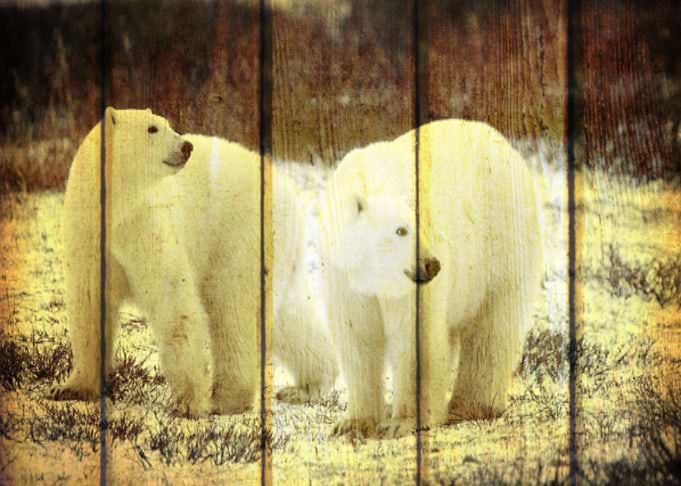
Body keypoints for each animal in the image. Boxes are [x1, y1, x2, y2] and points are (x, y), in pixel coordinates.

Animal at [320, 119, 543, 438]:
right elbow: (358, 335)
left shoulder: (413, 290)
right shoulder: (345, 278)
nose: (432, 265)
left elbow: (414, 337)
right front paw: (352, 424)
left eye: (421, 227)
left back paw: (472, 406)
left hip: (501, 243)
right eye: (401, 230)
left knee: (491, 327)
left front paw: (400, 422)